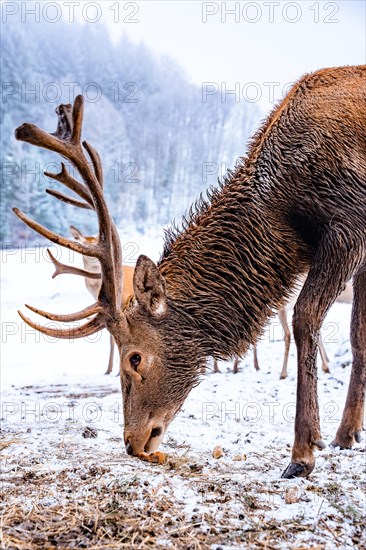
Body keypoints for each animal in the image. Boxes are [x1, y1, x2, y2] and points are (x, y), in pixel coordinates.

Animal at [14, 67, 366, 480]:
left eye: (135, 358)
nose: (131, 441)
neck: (286, 218)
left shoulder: (348, 226)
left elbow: (305, 317)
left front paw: (303, 452)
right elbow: (358, 334)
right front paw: (347, 434)